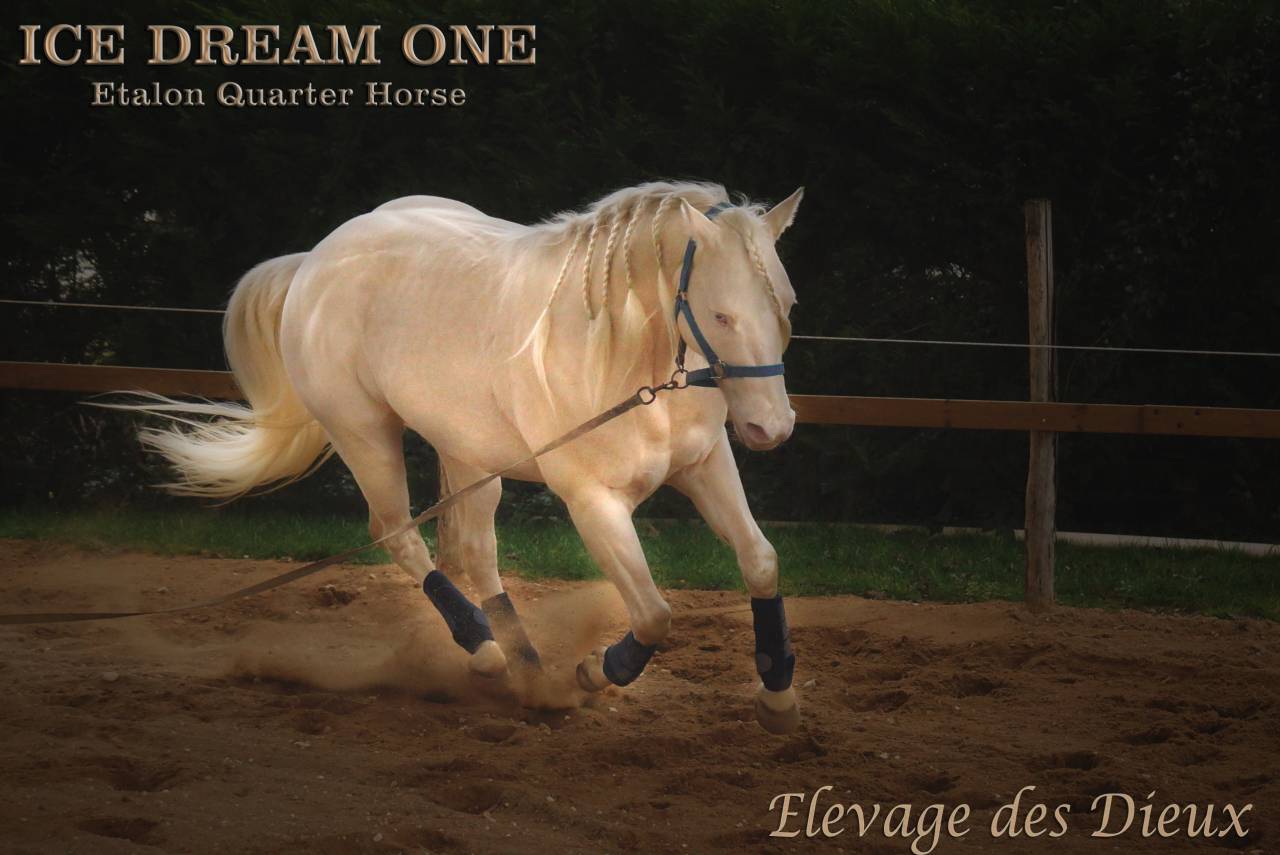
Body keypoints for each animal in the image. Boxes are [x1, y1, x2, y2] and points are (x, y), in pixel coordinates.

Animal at [119, 181, 806, 733]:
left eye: (787, 305)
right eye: (721, 314)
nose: (771, 428)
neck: (624, 359)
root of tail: (315, 259)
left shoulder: (705, 466)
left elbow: (762, 561)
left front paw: (777, 697)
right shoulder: (592, 500)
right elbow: (655, 615)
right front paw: (590, 672)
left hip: (467, 451)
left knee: (474, 549)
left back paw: (522, 665)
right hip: (364, 435)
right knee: (398, 533)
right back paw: (488, 653)